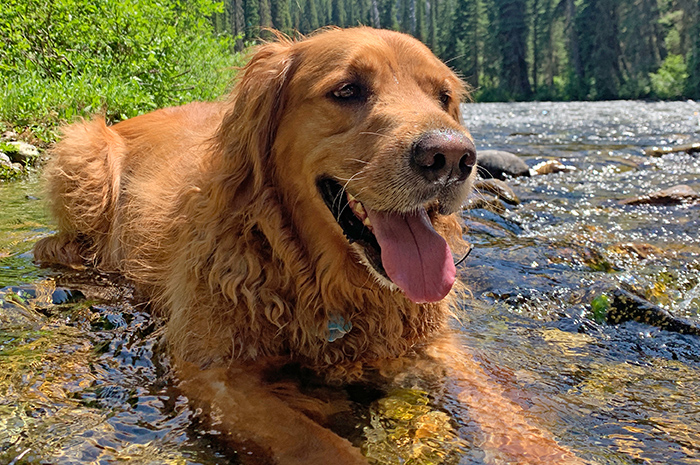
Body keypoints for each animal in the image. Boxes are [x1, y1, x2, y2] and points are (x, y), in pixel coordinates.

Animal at [32, 28, 584, 464]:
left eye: (443, 96)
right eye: (348, 89)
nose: (451, 157)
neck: (326, 282)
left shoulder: (429, 342)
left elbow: (501, 409)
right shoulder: (211, 373)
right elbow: (317, 444)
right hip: (82, 161)